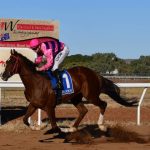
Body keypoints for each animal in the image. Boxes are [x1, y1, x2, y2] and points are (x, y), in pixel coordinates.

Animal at [1, 49, 137, 133]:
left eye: (11, 61)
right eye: (6, 61)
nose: (3, 76)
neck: (36, 82)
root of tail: (96, 74)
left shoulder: (50, 106)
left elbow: (55, 125)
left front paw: (58, 128)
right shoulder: (34, 104)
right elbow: (25, 119)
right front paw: (38, 127)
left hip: (91, 95)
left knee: (103, 104)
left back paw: (101, 126)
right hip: (76, 97)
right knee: (83, 110)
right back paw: (72, 128)